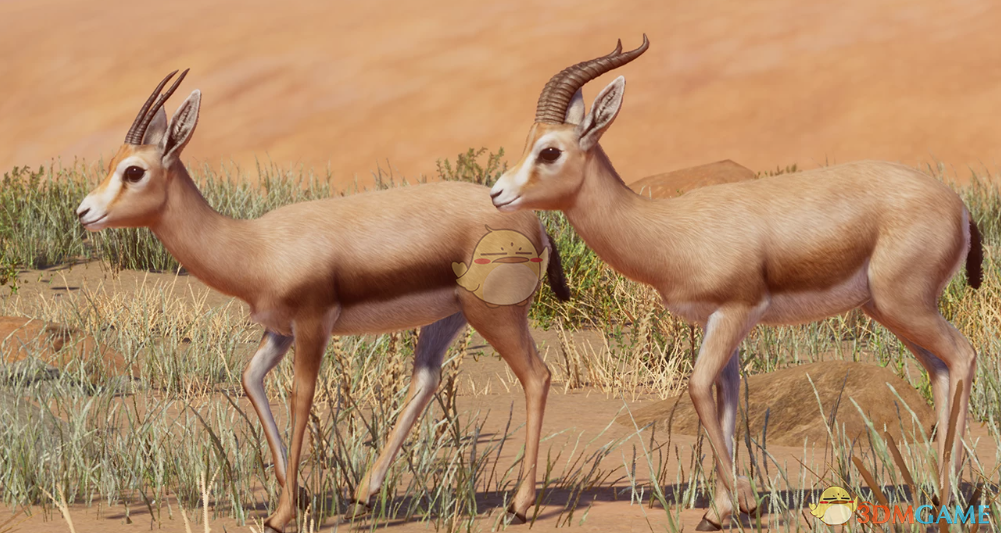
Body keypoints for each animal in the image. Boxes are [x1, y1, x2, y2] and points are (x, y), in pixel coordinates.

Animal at [75, 69, 571, 532]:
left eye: (133, 171)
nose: (84, 212)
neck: (255, 247)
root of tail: (535, 224)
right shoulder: (278, 330)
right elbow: (250, 380)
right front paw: (301, 495)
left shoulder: (313, 325)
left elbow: (301, 397)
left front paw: (280, 515)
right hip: (448, 317)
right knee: (427, 379)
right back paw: (363, 495)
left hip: (495, 315)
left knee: (537, 376)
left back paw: (520, 506)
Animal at [489, 35, 983, 530]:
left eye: (549, 151)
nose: (497, 193)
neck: (670, 230)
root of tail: (958, 206)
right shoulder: (720, 323)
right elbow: (724, 403)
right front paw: (721, 510)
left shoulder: (736, 312)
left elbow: (696, 389)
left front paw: (744, 505)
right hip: (887, 309)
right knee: (940, 371)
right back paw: (935, 495)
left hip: (905, 305)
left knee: (963, 354)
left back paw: (949, 497)